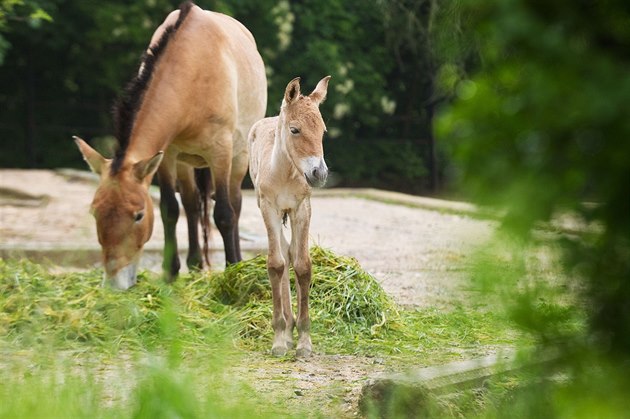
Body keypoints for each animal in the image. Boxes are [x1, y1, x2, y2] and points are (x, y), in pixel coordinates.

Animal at [73, 0, 266, 288]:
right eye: (95, 212)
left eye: (138, 215)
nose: (114, 284)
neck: (194, 67)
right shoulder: (166, 155)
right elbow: (170, 209)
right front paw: (170, 272)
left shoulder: (220, 152)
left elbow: (224, 213)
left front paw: (233, 270)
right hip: (185, 162)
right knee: (191, 203)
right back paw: (195, 264)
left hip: (239, 157)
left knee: (235, 202)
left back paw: (237, 261)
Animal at [249, 76, 334, 358]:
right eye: (295, 130)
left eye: (323, 131)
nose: (319, 173)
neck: (285, 173)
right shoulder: (269, 208)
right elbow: (276, 265)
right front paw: (279, 338)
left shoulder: (302, 209)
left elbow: (303, 265)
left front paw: (305, 342)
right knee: (283, 257)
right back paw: (286, 331)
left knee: (291, 253)